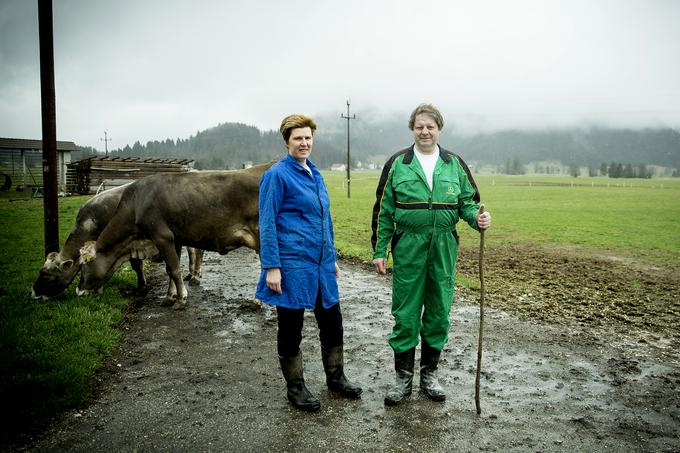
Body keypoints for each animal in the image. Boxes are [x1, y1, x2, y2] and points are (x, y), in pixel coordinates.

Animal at [77, 161, 274, 308]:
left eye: (84, 265)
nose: (78, 291)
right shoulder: (175, 239)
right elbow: (170, 269)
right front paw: (169, 296)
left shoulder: (161, 236)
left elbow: (174, 269)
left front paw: (181, 299)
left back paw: (257, 301)